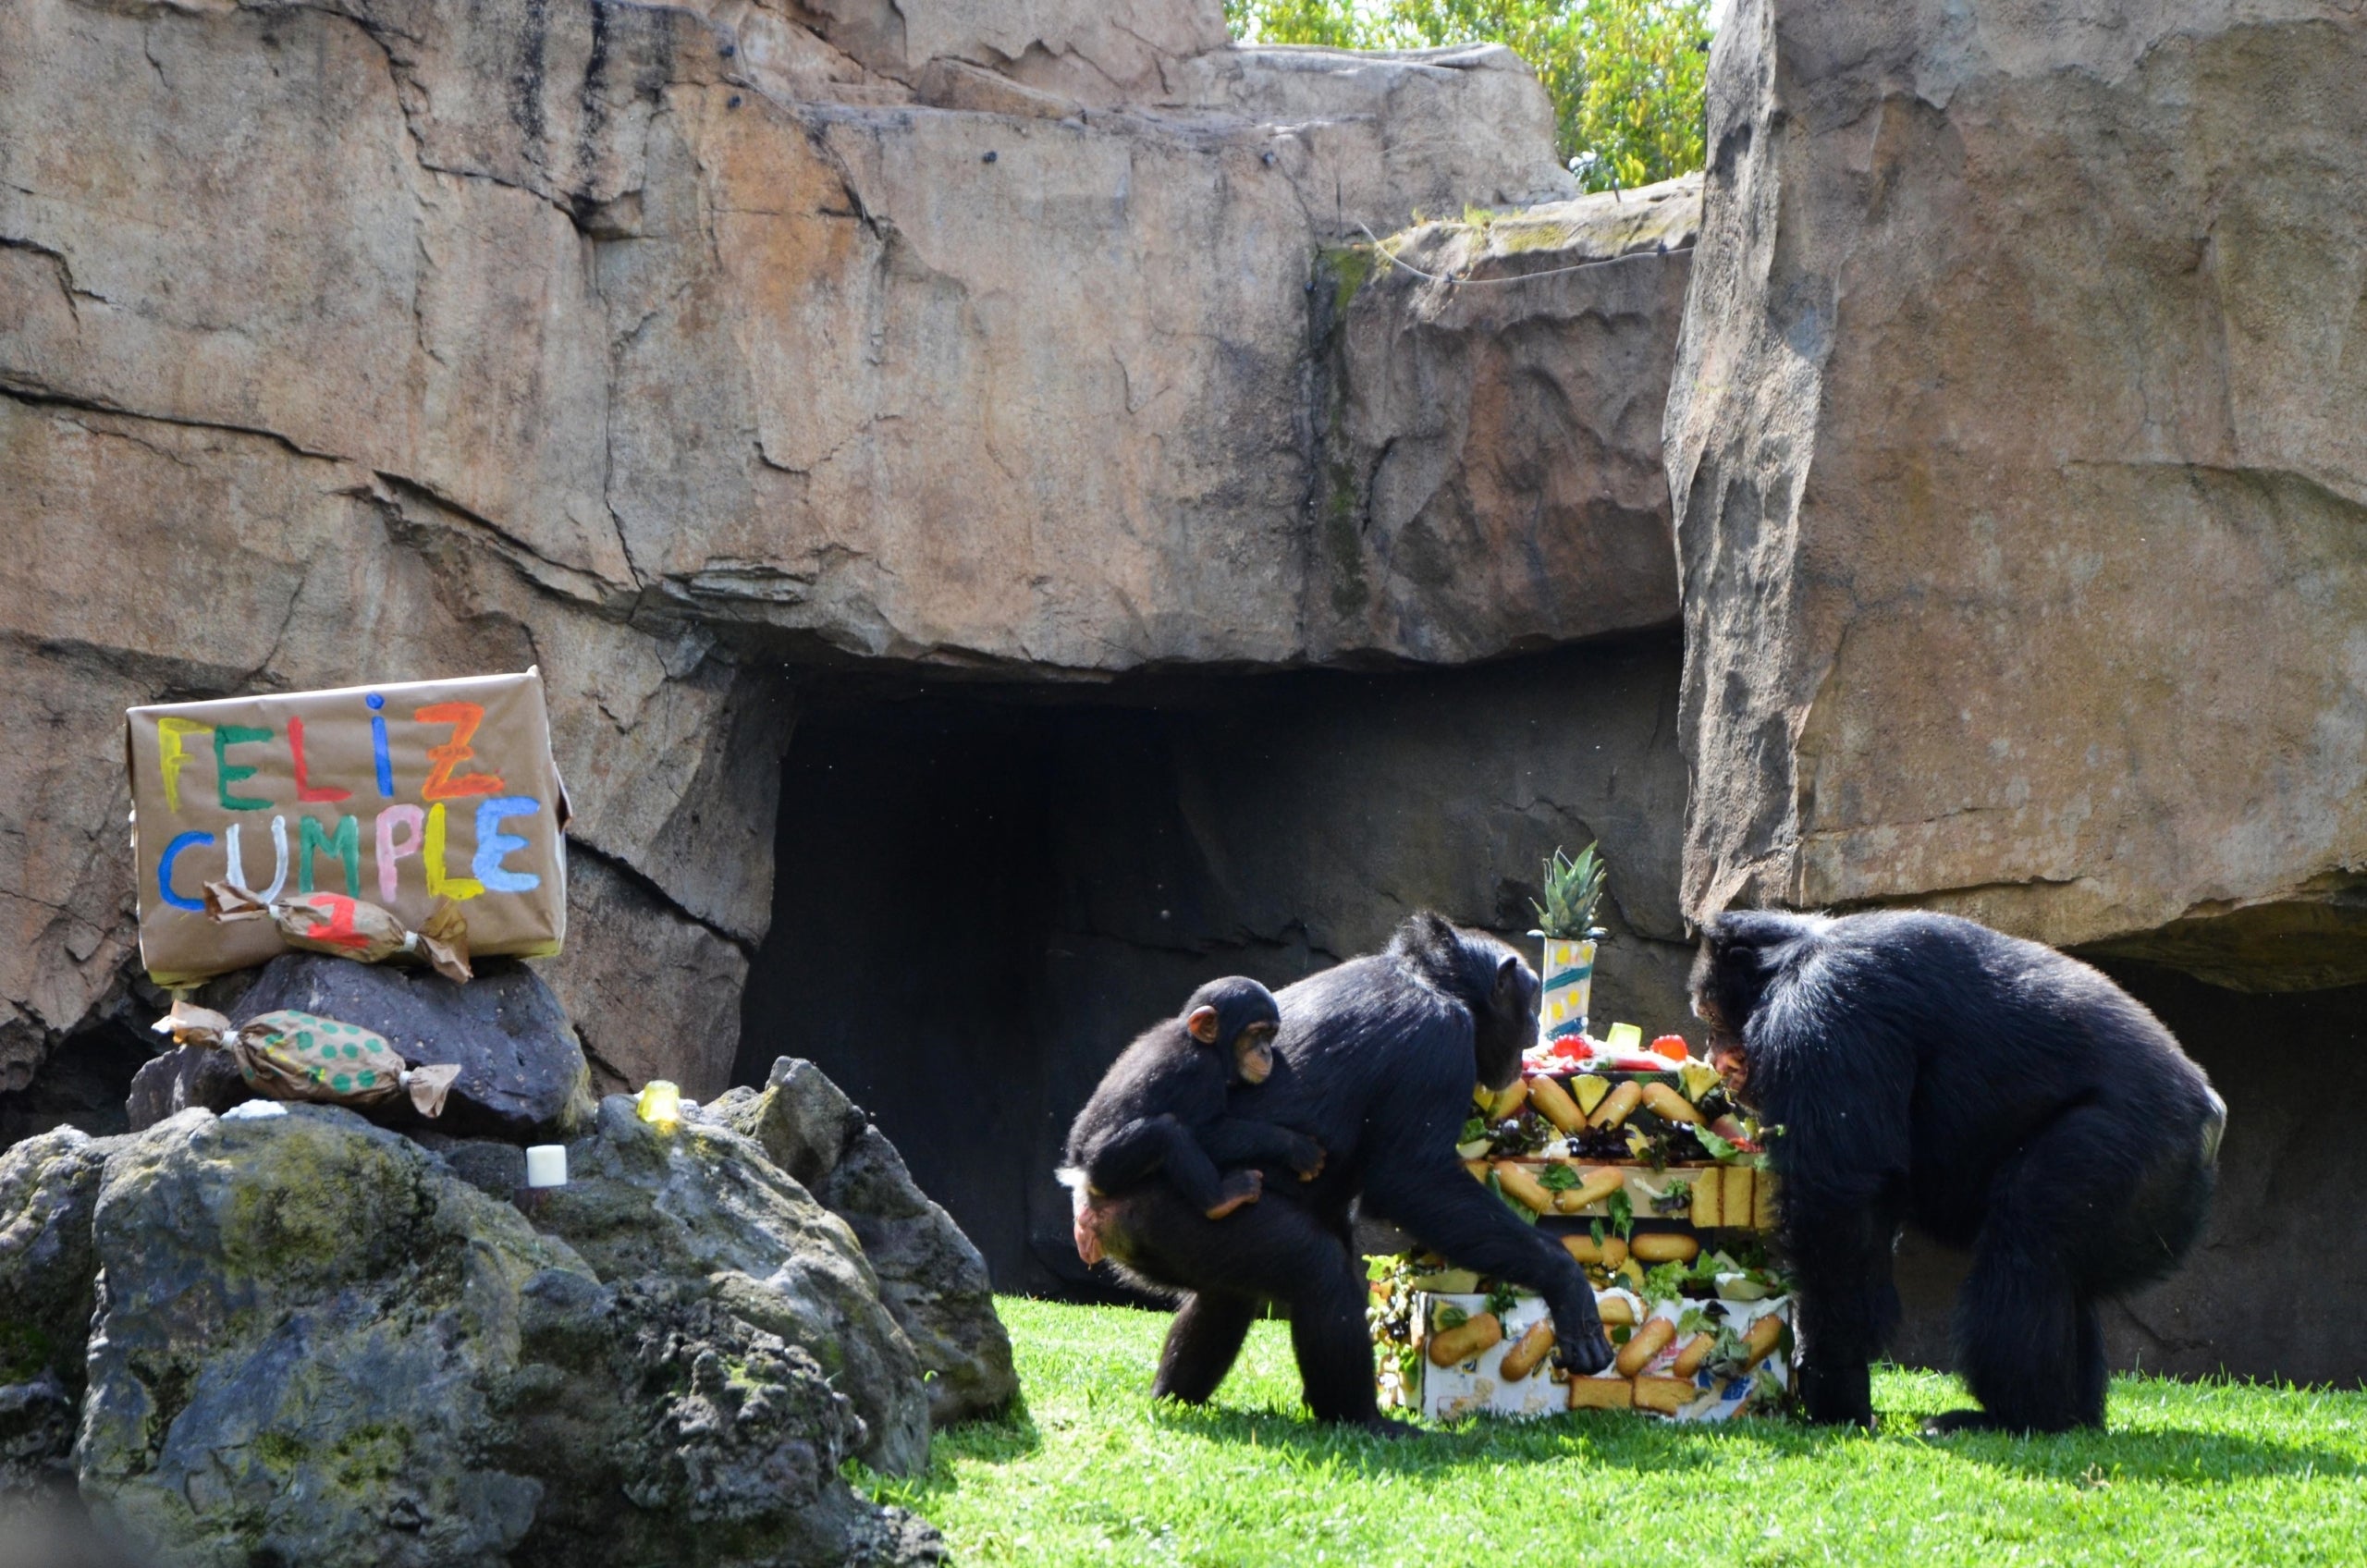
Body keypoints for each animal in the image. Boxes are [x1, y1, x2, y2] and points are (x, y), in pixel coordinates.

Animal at [1060, 975, 1325, 1269]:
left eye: (1270, 1034)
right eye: (1255, 1033)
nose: (1265, 1051)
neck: (1200, 1042)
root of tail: (1077, 1172)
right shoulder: (1202, 1070)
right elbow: (1206, 1131)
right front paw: (1295, 1146)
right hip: (1104, 1168)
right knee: (1167, 1131)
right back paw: (1221, 1200)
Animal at [1694, 909, 2225, 1439]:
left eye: (1713, 1017)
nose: (1713, 1053)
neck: (1792, 958)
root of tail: (2210, 1118)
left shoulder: (1823, 1015)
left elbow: (1840, 1203)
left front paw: (1832, 1380)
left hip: (2121, 1149)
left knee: (2028, 1250)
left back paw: (2015, 1416)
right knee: (2065, 1281)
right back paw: (2070, 1417)